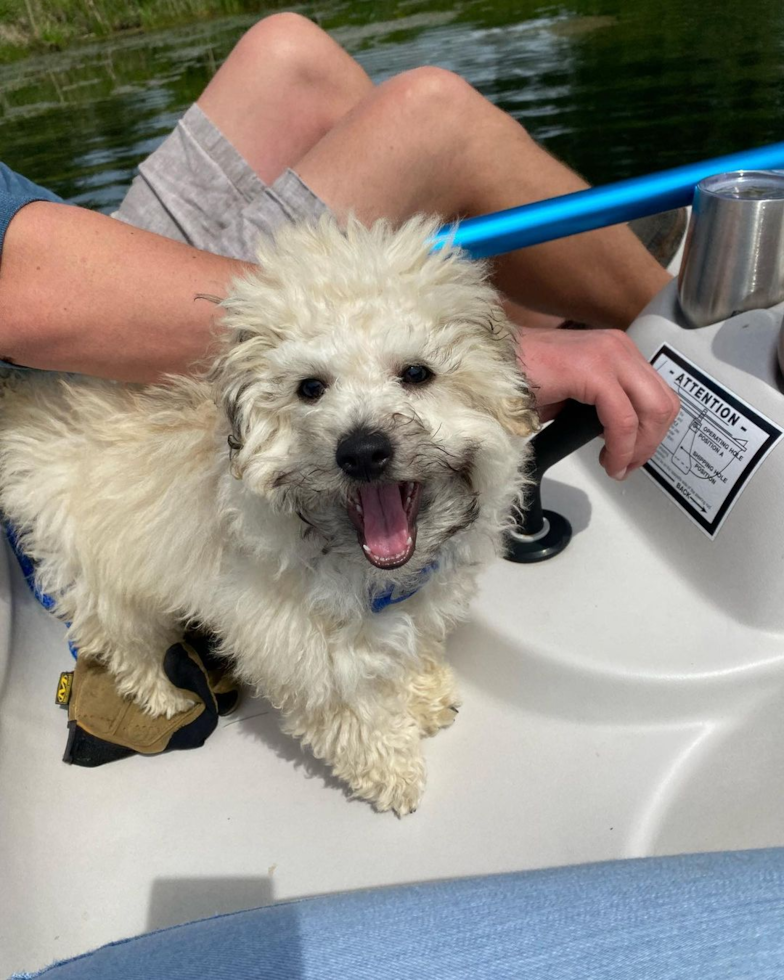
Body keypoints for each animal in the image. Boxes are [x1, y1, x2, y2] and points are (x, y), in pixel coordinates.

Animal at [0, 218, 532, 816]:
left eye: (417, 373)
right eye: (311, 387)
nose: (362, 451)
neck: (366, 568)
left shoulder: (415, 604)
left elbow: (410, 648)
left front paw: (423, 694)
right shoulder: (301, 647)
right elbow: (355, 714)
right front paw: (393, 770)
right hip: (90, 562)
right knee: (119, 636)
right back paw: (162, 693)